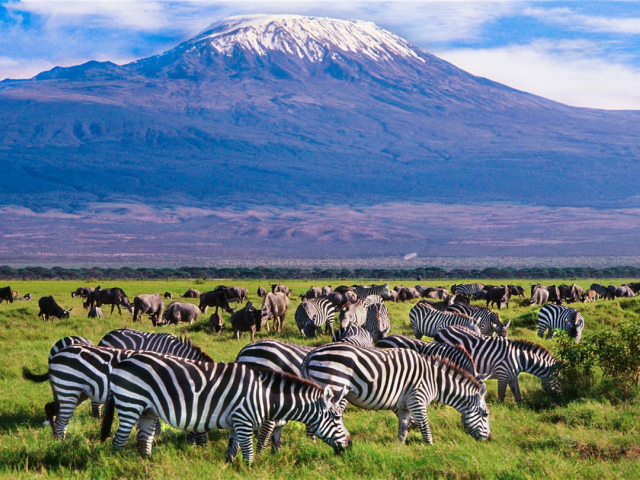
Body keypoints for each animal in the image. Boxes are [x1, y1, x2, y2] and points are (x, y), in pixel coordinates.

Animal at [100, 354, 352, 464]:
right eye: (336, 417)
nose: (350, 445)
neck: (263, 395)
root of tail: (123, 361)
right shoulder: (244, 419)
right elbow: (248, 453)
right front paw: (250, 470)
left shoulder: (234, 423)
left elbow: (232, 451)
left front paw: (230, 467)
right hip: (131, 403)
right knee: (118, 442)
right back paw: (115, 462)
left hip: (148, 410)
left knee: (144, 441)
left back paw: (148, 464)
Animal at [300, 344, 490, 444]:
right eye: (485, 414)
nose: (488, 438)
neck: (435, 381)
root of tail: (313, 352)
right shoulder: (417, 399)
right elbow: (425, 427)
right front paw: (431, 449)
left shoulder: (405, 406)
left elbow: (403, 429)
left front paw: (399, 449)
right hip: (333, 386)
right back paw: (313, 445)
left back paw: (312, 445)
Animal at [430, 326, 560, 402]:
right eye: (559, 380)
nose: (559, 399)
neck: (519, 358)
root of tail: (442, 330)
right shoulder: (502, 374)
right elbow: (501, 397)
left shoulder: (513, 377)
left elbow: (518, 396)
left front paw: (520, 410)